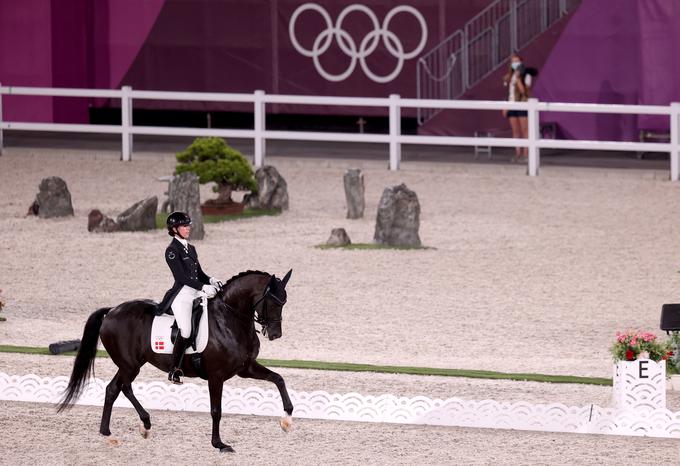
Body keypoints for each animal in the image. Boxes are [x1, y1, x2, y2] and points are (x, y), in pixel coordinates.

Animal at [56, 268, 292, 454]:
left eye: (284, 301)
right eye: (272, 301)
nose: (275, 334)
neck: (229, 319)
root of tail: (112, 310)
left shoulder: (245, 368)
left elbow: (278, 379)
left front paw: (287, 418)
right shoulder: (216, 376)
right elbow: (216, 410)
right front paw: (219, 444)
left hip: (132, 365)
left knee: (120, 388)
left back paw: (140, 425)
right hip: (129, 365)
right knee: (117, 388)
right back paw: (113, 432)